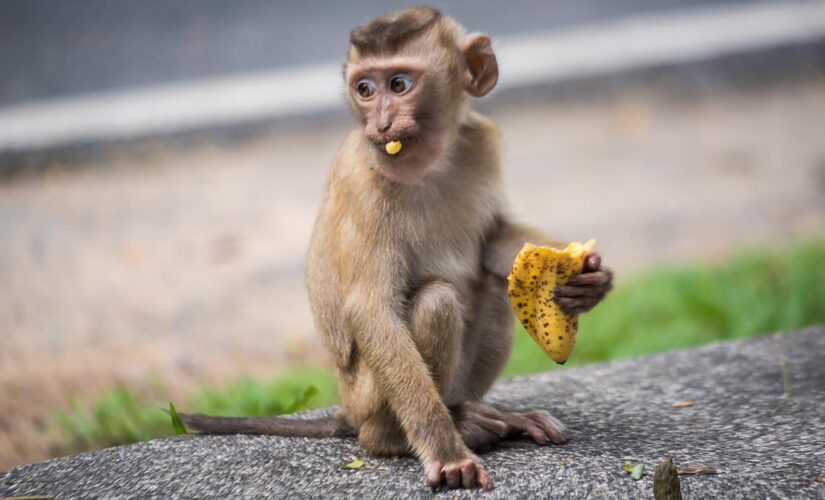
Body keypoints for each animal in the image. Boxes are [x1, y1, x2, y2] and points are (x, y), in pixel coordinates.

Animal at [182, 6, 612, 492]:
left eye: (400, 84)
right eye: (365, 89)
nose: (381, 123)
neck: (427, 164)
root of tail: (349, 411)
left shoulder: (480, 144)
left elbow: (494, 240)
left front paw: (590, 279)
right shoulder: (364, 184)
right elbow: (372, 310)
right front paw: (445, 453)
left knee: (494, 288)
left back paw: (484, 414)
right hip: (369, 397)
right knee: (437, 302)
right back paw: (415, 435)